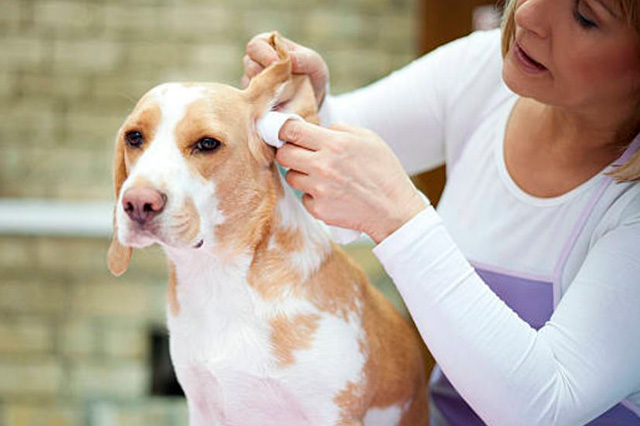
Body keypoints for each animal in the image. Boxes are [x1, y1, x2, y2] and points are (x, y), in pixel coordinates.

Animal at [107, 31, 428, 424]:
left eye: (207, 143)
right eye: (134, 137)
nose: (138, 203)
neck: (221, 279)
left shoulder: (332, 413)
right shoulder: (203, 407)